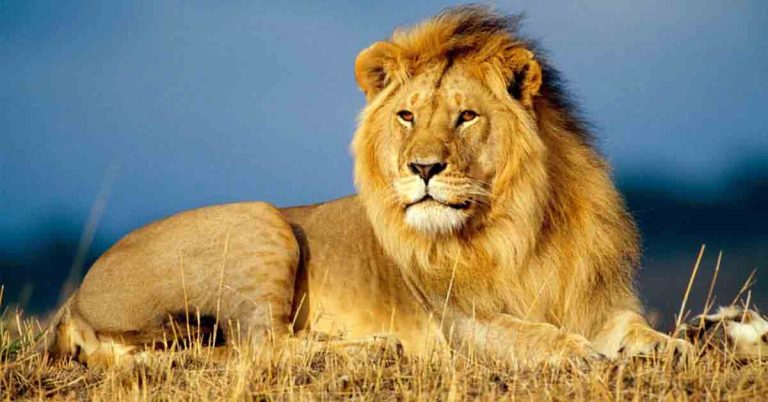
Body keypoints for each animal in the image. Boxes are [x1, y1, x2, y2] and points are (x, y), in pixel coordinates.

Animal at [41, 6, 689, 367]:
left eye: (466, 116)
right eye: (406, 116)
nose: (423, 168)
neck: (520, 226)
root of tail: (74, 299)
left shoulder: (596, 298)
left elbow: (631, 327)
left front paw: (670, 345)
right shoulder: (460, 323)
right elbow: (529, 334)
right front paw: (577, 352)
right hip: (260, 220)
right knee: (259, 346)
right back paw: (372, 348)